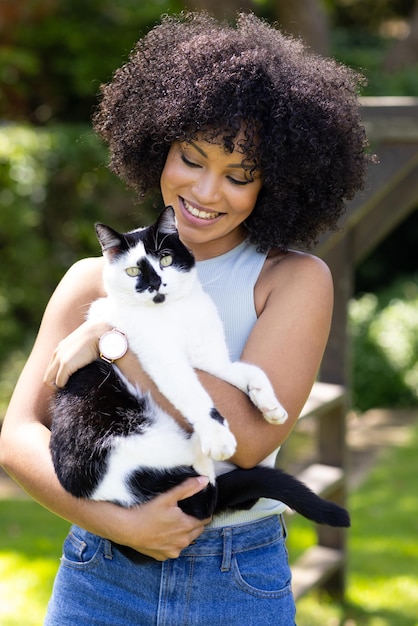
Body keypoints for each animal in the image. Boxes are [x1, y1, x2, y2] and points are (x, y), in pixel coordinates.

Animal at [48, 206, 350, 544]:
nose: (155, 284)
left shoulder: (211, 359)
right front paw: (219, 436)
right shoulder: (165, 359)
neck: (176, 312)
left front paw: (271, 407)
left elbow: (250, 371)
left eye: (165, 259)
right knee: (206, 476)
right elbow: (195, 395)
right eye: (133, 271)